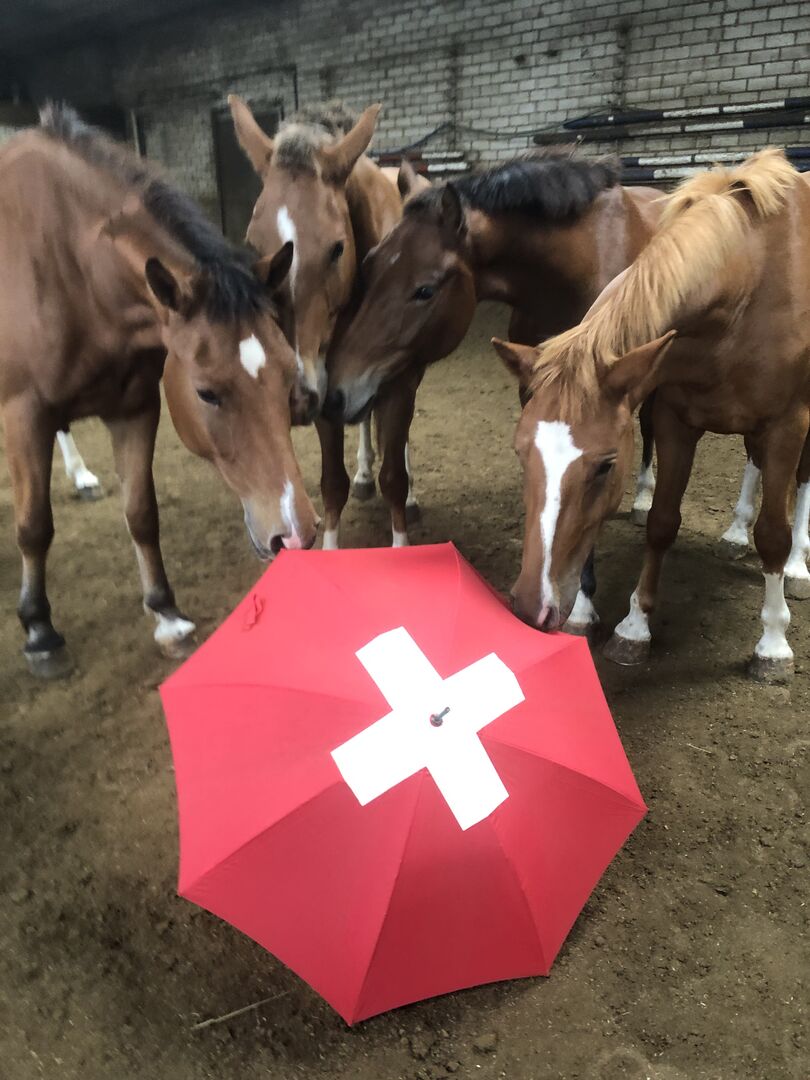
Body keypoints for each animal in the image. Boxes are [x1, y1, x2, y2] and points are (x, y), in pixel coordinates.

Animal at [0, 104, 317, 677]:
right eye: (207, 392)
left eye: (287, 376)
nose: (296, 535)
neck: (70, 263)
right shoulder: (24, 412)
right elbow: (34, 525)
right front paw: (39, 630)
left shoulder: (135, 407)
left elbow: (141, 513)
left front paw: (166, 614)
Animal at [228, 96, 422, 547]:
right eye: (253, 247)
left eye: (336, 248)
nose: (296, 396)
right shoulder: (325, 385)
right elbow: (333, 484)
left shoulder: (399, 381)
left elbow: (395, 479)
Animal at [322, 149, 664, 624]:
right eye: (368, 267)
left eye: (424, 290)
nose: (336, 389)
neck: (568, 269)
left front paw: (581, 604)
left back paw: (647, 498)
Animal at [492, 149, 810, 682]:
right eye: (520, 453)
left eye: (605, 466)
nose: (531, 607)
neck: (745, 283)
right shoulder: (675, 419)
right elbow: (661, 521)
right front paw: (634, 628)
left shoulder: (788, 424)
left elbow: (773, 534)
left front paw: (772, 644)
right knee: (752, 460)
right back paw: (734, 532)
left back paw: (798, 566)